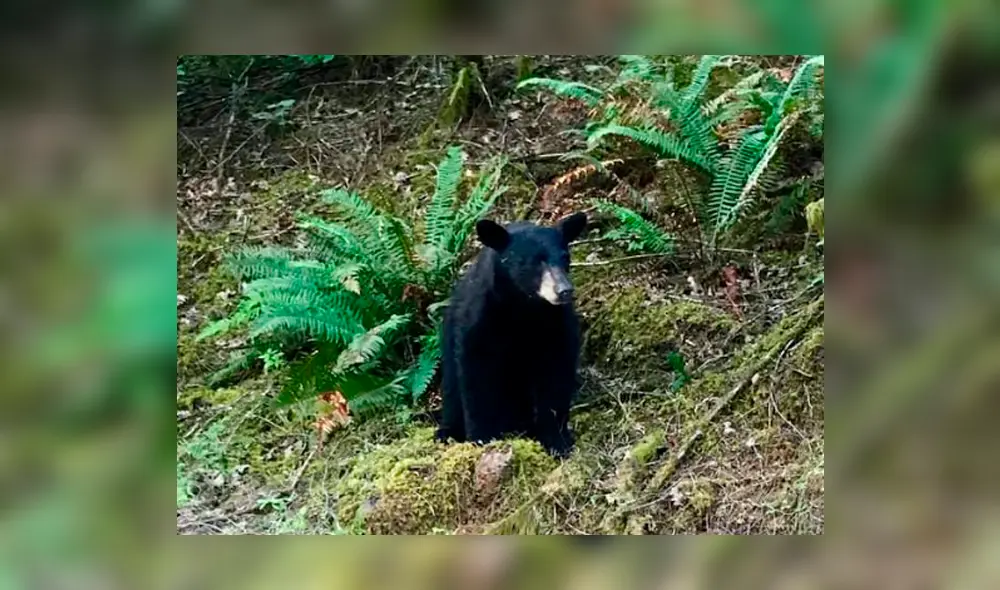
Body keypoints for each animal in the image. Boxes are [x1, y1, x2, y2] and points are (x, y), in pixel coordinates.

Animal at [435, 211, 588, 458]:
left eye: (566, 258)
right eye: (534, 261)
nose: (564, 290)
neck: (524, 307)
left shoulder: (557, 325)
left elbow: (556, 375)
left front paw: (557, 440)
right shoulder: (480, 318)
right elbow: (476, 376)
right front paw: (482, 437)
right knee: (451, 386)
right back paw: (446, 432)